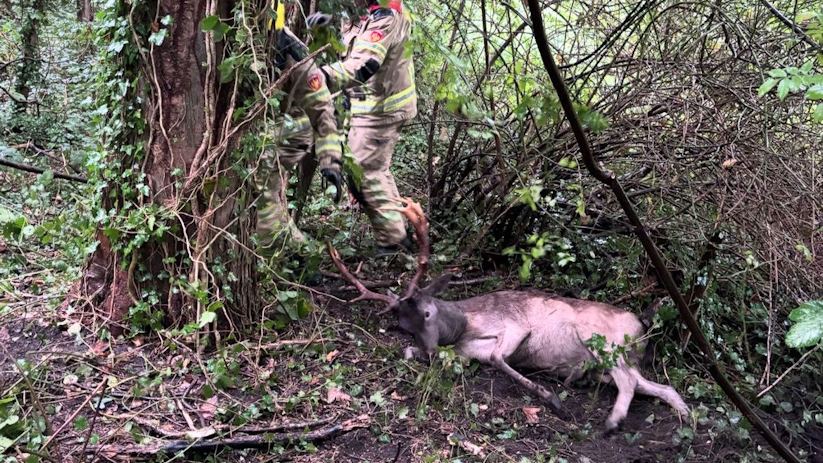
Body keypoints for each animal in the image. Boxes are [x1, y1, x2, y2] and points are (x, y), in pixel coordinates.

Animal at [326, 198, 692, 432]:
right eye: (404, 326)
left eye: (428, 313)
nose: (430, 348)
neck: (466, 326)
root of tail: (641, 328)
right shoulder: (467, 351)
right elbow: (433, 354)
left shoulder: (515, 325)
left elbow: (499, 356)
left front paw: (552, 399)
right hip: (620, 358)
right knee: (656, 386)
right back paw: (685, 413)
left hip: (602, 339)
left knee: (627, 381)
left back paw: (612, 422)